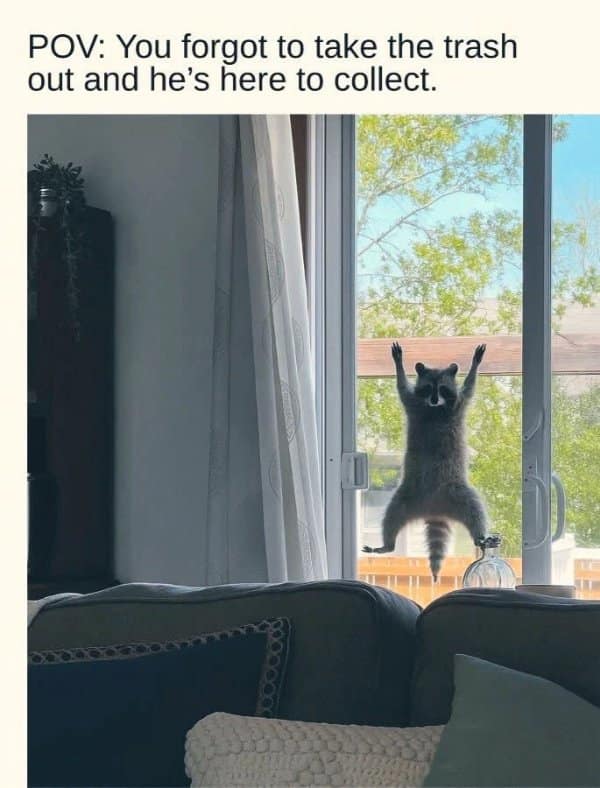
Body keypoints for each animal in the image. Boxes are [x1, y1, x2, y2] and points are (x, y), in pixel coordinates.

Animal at [363, 342, 488, 580]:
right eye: (429, 388)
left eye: (443, 389)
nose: (434, 400)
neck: (434, 410)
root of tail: (434, 509)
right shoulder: (413, 405)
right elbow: (401, 387)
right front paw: (399, 365)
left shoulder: (458, 405)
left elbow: (470, 386)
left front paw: (475, 364)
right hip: (406, 496)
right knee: (390, 516)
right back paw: (387, 544)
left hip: (458, 492)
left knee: (476, 510)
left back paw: (480, 536)